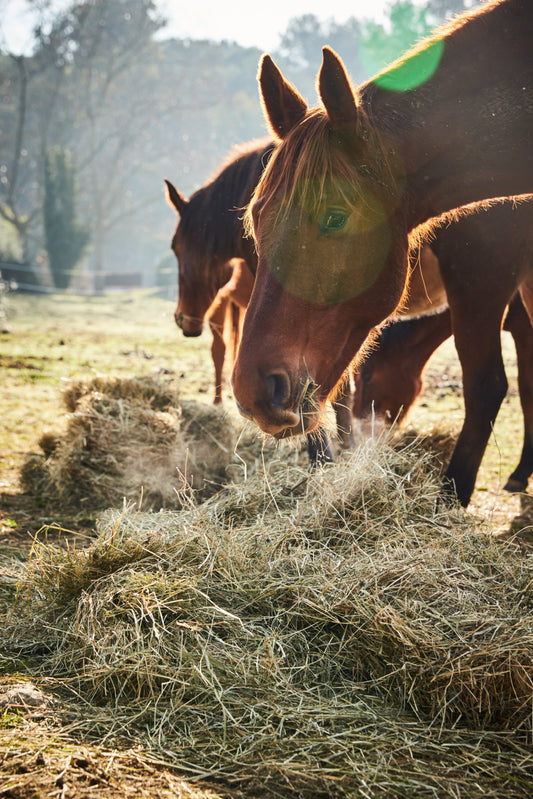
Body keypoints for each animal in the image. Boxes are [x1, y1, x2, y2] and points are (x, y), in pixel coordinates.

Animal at [233, 0, 532, 510]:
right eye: (256, 217)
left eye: (335, 217)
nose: (254, 391)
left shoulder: (482, 274)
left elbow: (486, 384)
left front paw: (450, 501)